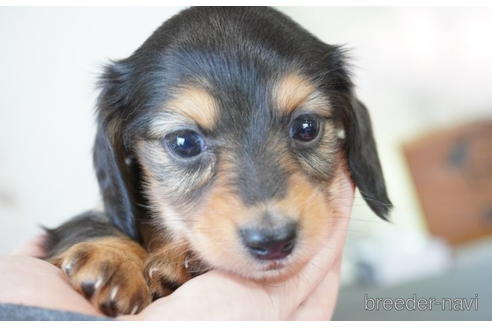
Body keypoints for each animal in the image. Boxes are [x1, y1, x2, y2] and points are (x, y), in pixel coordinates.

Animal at [41, 6, 392, 316]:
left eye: (307, 127)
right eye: (184, 142)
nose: (273, 243)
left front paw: (181, 264)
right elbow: (88, 223)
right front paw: (112, 258)